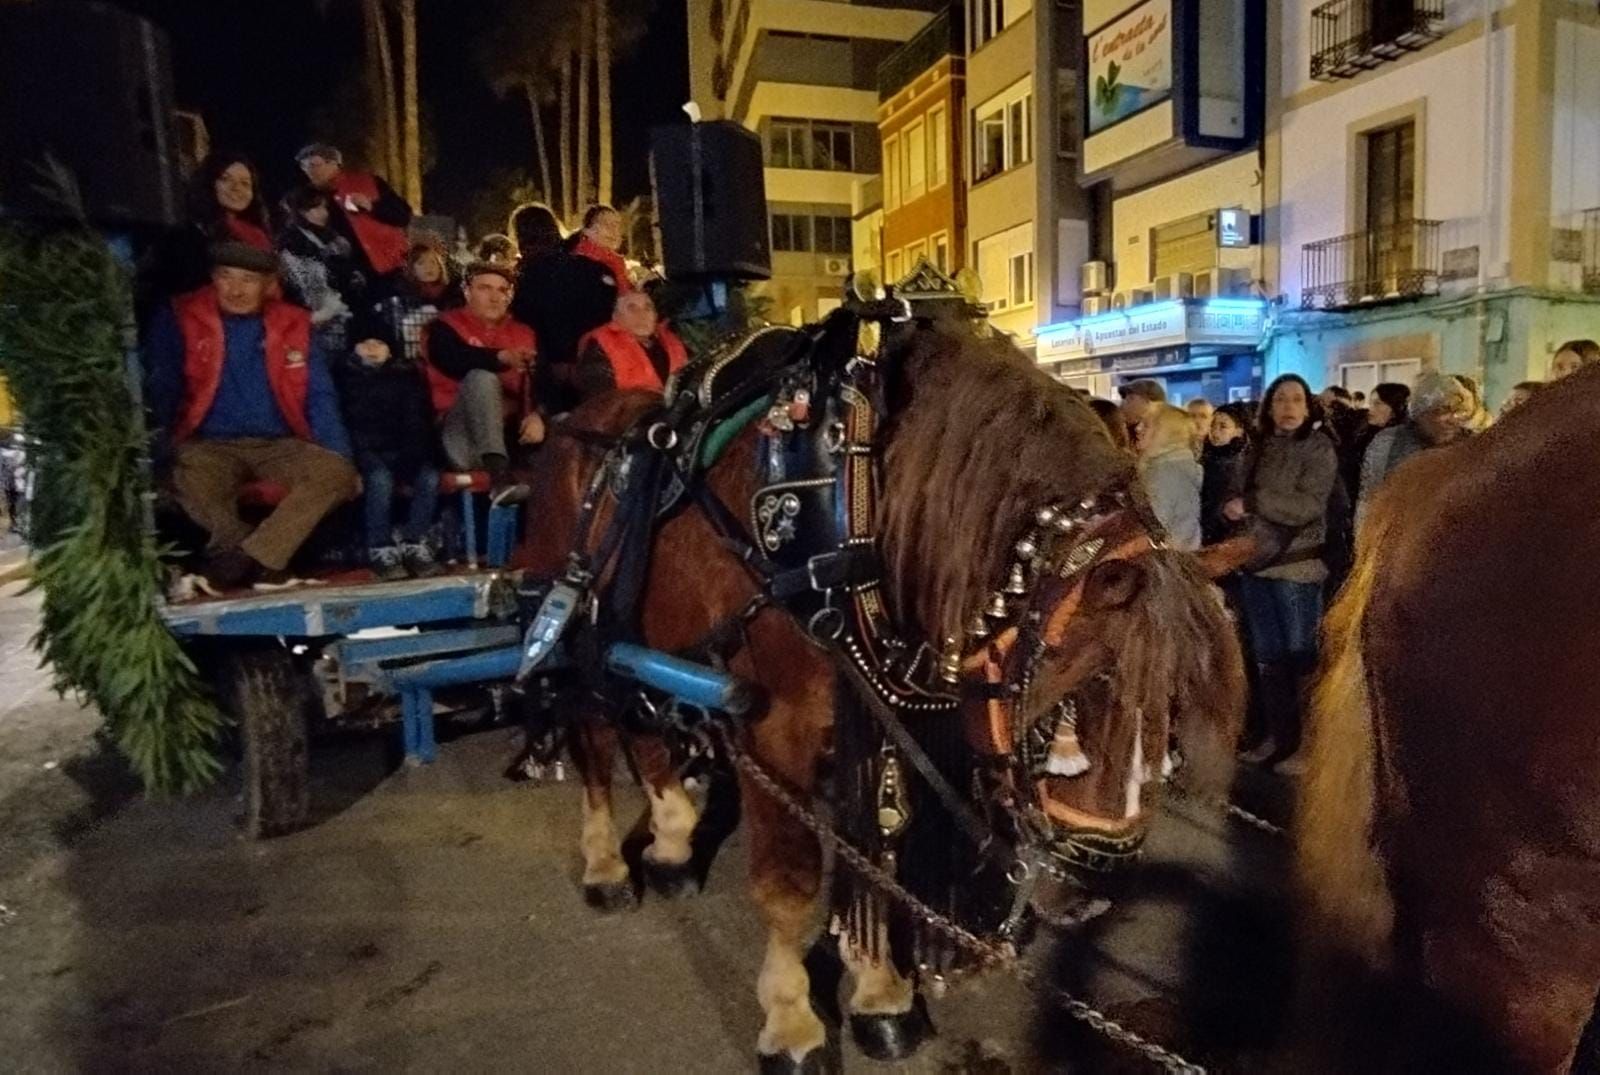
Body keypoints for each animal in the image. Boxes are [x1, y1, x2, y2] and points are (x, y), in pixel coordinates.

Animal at [518, 319, 1241, 1068]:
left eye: (1172, 716)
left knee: (645, 736)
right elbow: (790, 882)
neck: (851, 519)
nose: (1094, 891)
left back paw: (670, 846)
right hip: (573, 634)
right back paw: (607, 867)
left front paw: (880, 996)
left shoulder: (885, 721)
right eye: (1064, 717)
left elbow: (877, 861)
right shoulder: (774, 732)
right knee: (593, 737)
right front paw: (793, 1023)